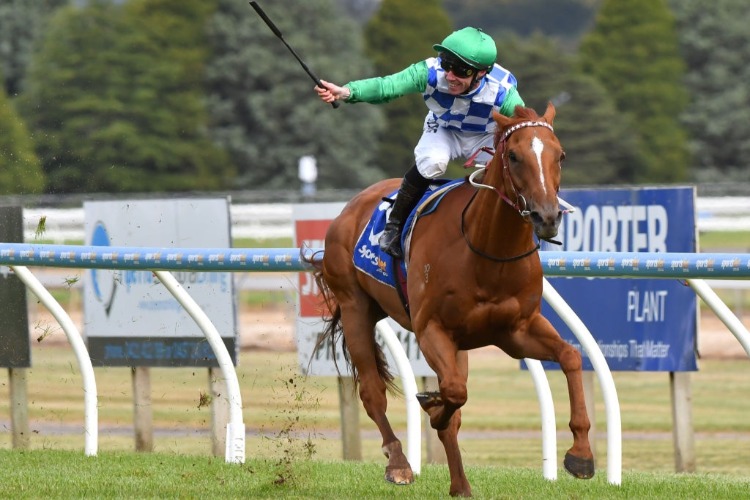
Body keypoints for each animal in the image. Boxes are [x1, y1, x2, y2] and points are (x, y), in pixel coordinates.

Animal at [308, 102, 596, 496]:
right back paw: (399, 463)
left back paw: (460, 484)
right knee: (372, 391)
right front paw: (431, 407)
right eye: (514, 155)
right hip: (355, 307)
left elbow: (570, 356)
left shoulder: (516, 331)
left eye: (560, 155)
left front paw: (581, 453)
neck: (487, 250)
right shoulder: (432, 329)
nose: (547, 216)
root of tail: (349, 208)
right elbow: (454, 394)